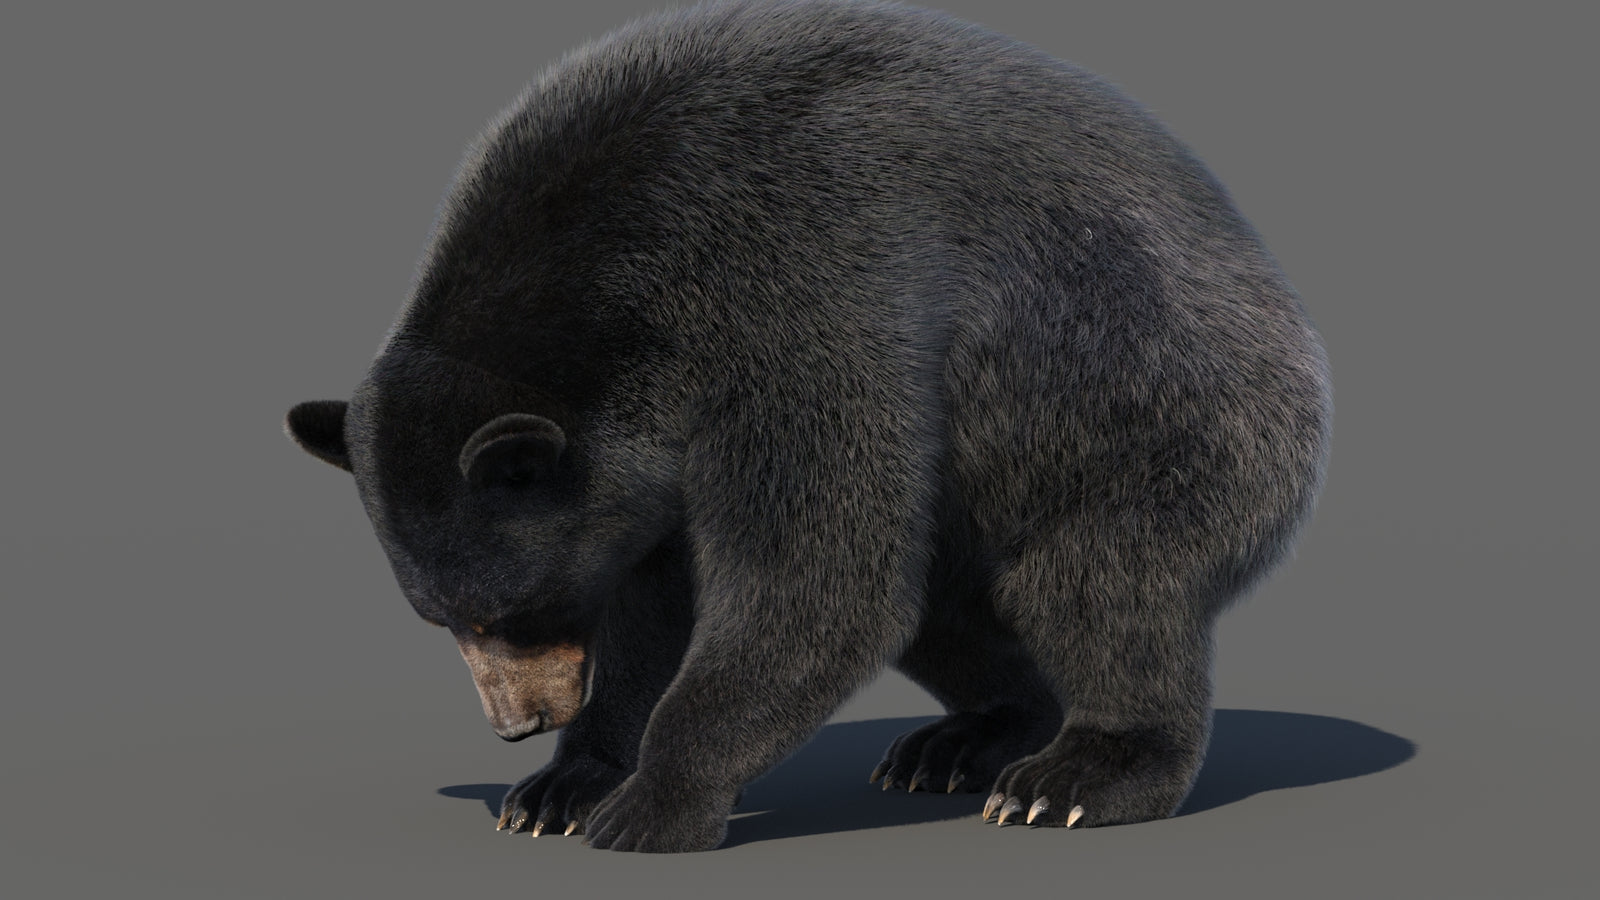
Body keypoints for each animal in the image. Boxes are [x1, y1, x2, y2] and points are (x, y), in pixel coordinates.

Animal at [286, 0, 1331, 853]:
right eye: (441, 617)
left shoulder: (794, 289)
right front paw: (560, 788)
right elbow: (655, 597)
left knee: (1096, 582)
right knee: (946, 607)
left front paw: (650, 803)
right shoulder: (646, 456)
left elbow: (814, 573)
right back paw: (964, 740)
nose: (518, 724)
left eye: (509, 611)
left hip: (1161, 407)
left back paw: (1074, 776)